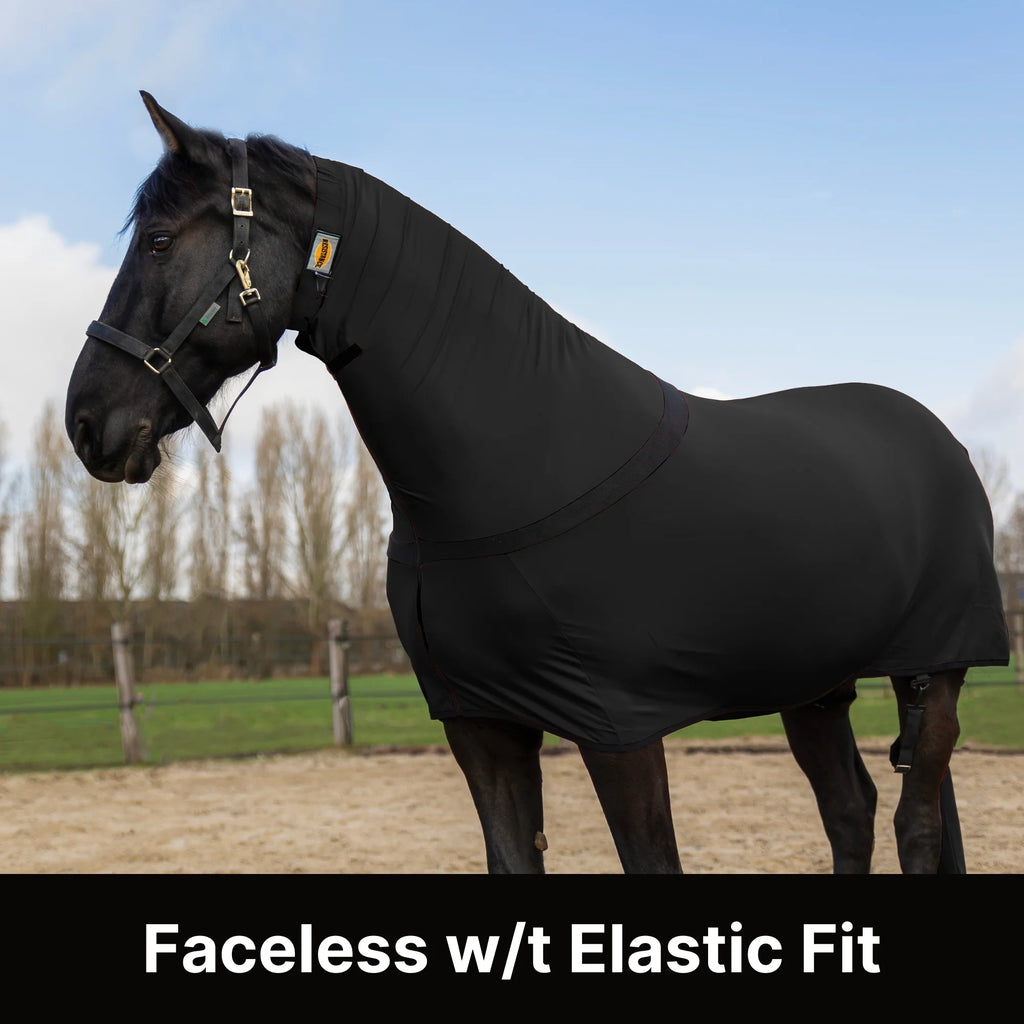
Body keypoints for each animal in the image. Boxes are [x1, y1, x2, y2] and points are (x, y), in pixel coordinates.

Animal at [66, 93, 1009, 874]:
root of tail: (936, 440)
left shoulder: (620, 730)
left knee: (915, 827)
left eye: (158, 240)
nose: (87, 424)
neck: (516, 467)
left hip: (937, 672)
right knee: (850, 811)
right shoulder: (483, 730)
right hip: (815, 686)